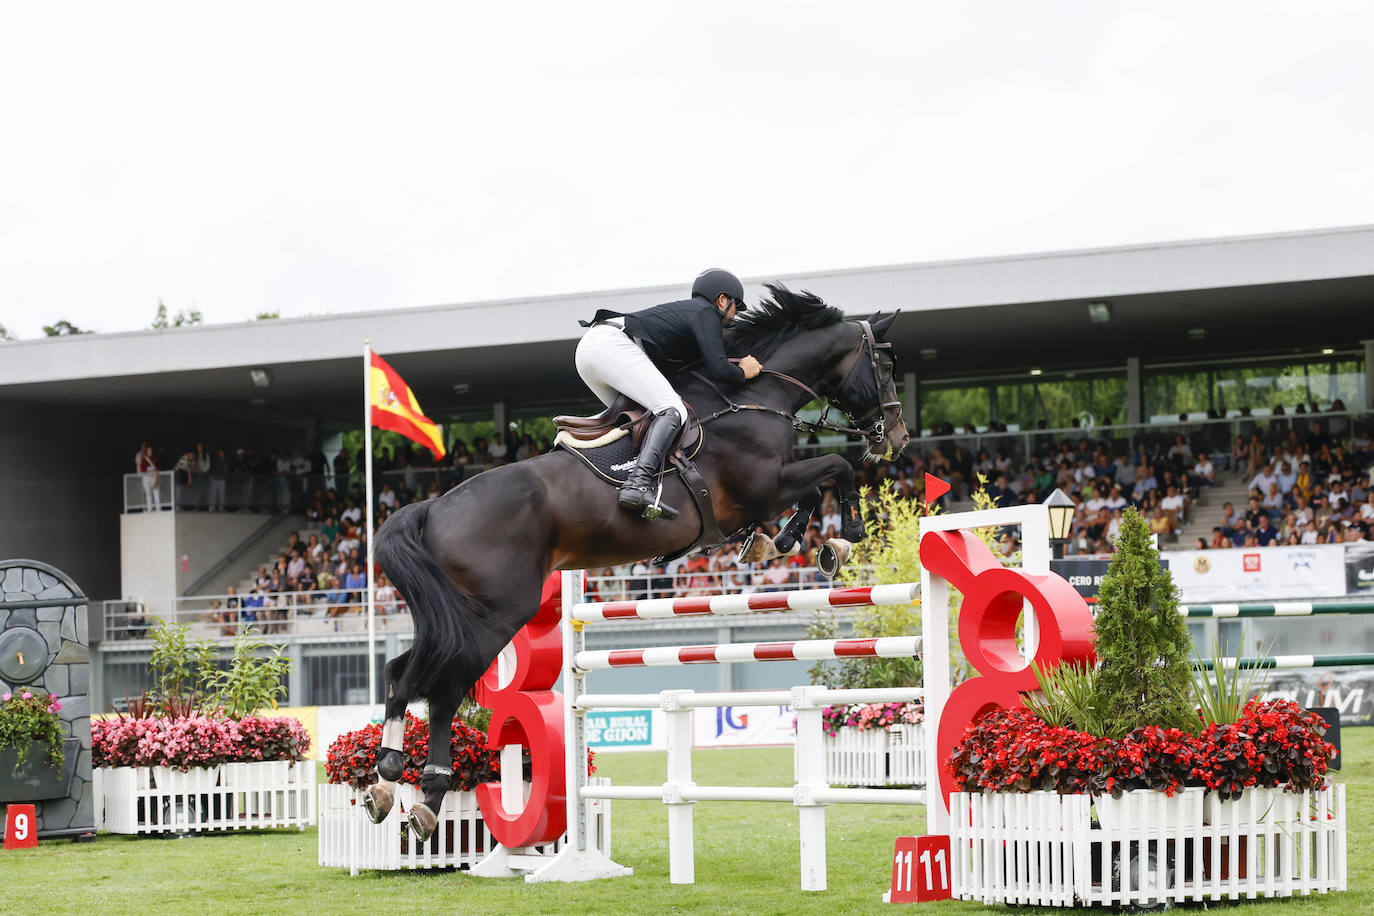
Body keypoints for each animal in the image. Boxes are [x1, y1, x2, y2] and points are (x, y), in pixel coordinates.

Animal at [365, 284, 912, 840]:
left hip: (453, 616)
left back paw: (390, 780)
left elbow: (816, 487)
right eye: (887, 365)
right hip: (495, 613)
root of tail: (432, 507)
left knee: (401, 672)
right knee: (443, 689)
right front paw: (844, 538)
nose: (898, 438)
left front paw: (782, 539)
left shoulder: (767, 492)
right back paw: (425, 794)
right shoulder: (765, 487)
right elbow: (836, 468)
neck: (754, 397)